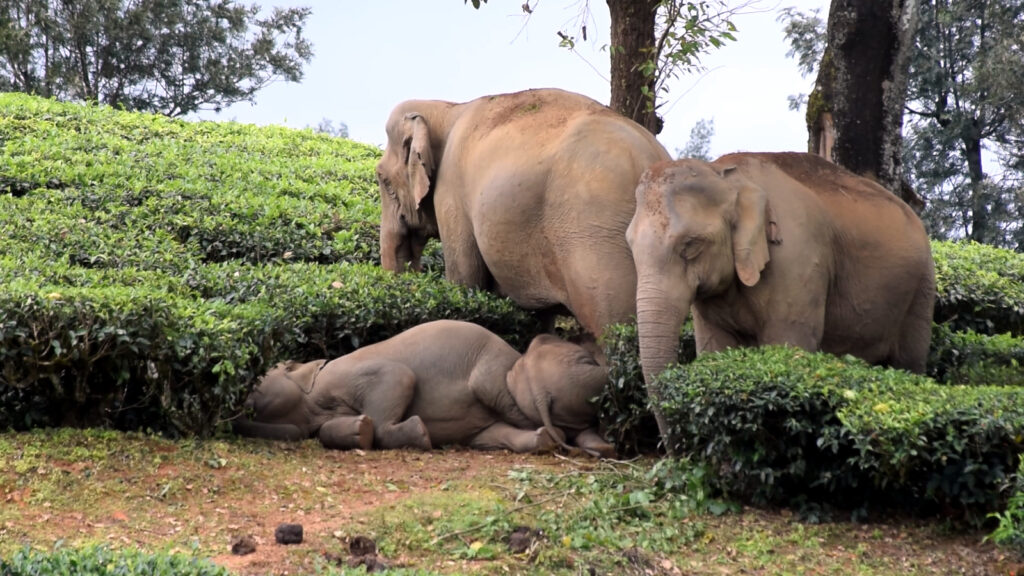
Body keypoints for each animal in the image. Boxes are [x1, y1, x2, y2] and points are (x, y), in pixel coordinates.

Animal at [233, 320, 615, 457]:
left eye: (261, 376)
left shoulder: (355, 372)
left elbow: (399, 376)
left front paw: (419, 433)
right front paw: (359, 430)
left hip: (495, 371)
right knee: (495, 434)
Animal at [375, 88, 671, 338]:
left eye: (382, 180)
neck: (448, 108)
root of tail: (651, 159)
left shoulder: (451, 193)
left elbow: (465, 280)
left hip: (596, 238)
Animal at [626, 152, 936, 440]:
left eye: (691, 245)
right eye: (629, 245)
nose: (675, 452)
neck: (724, 174)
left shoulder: (797, 259)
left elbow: (788, 344)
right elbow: (716, 348)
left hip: (922, 286)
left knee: (909, 360)